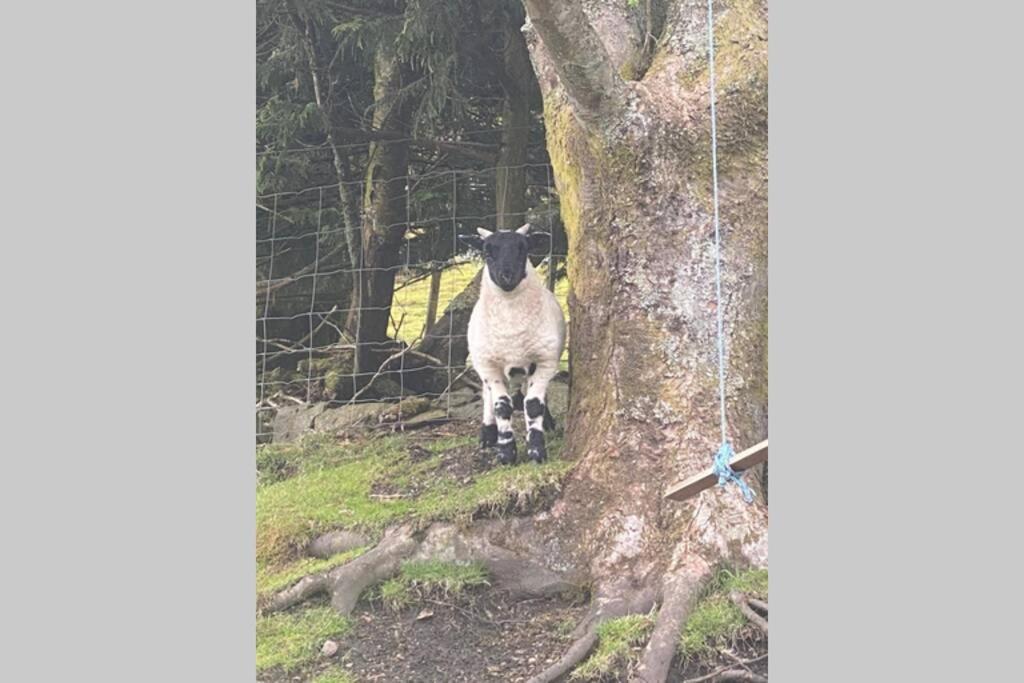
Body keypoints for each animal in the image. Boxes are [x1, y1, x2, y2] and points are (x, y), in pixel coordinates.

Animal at [466, 224, 569, 464]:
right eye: (487, 252)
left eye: (523, 249)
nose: (507, 276)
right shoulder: (489, 366)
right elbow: (502, 406)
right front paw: (506, 452)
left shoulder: (545, 361)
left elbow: (533, 405)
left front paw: (536, 450)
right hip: (484, 363)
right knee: (487, 396)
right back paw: (488, 434)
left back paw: (548, 423)